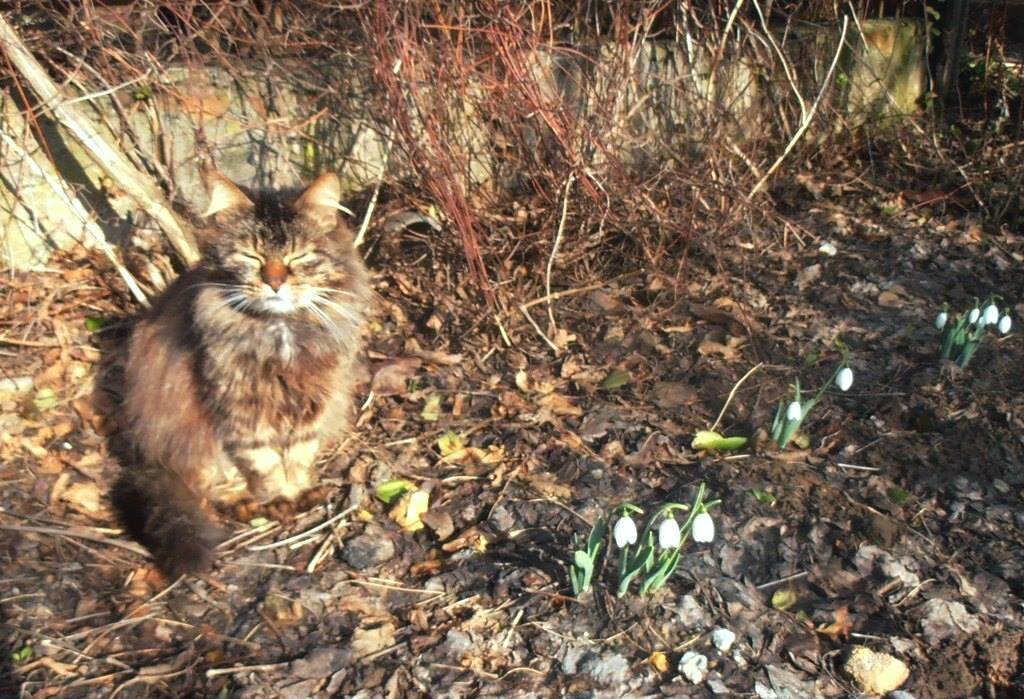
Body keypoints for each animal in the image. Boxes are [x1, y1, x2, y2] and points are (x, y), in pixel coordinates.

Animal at [114, 171, 370, 577]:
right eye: (253, 256)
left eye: (298, 256)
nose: (275, 282)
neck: (280, 333)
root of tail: (146, 457)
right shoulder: (243, 414)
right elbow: (266, 465)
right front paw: (280, 499)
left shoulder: (313, 403)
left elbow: (299, 456)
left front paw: (299, 491)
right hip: (197, 444)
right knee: (211, 489)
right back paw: (249, 505)